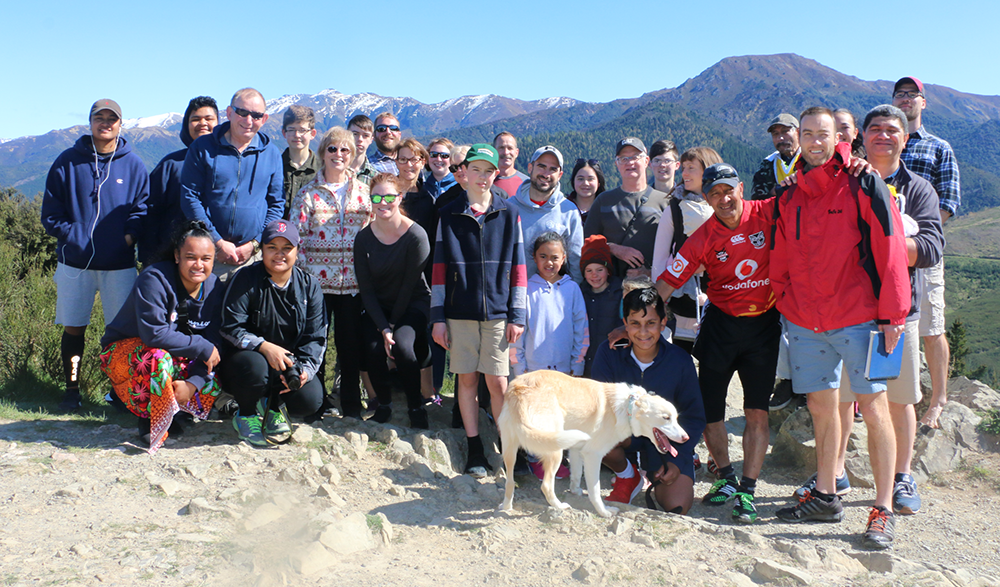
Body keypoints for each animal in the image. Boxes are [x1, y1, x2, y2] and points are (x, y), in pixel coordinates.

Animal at [498, 372, 688, 520]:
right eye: (665, 418)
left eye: (676, 418)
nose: (686, 438)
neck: (627, 407)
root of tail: (519, 392)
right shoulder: (593, 455)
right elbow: (595, 490)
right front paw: (604, 512)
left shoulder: (576, 449)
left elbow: (576, 475)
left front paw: (575, 491)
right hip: (555, 450)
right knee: (546, 486)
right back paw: (559, 506)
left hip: (511, 450)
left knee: (510, 482)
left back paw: (506, 506)